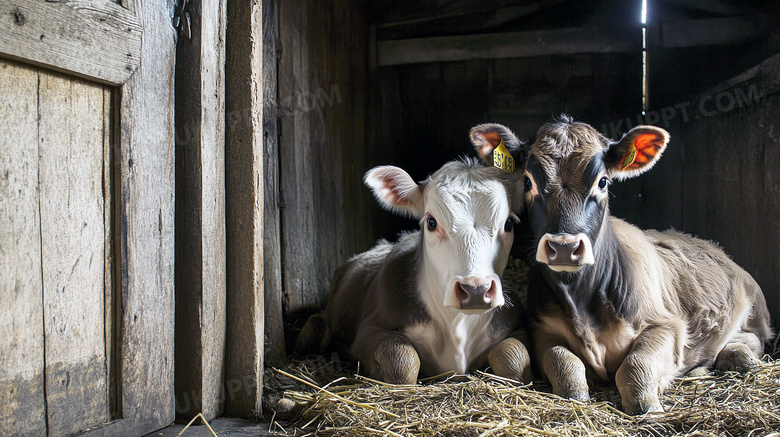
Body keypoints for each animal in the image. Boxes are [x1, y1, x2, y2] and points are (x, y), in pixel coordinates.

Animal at [296, 124, 532, 384]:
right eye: (431, 222)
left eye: (508, 223)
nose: (476, 291)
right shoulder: (368, 331)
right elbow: (401, 362)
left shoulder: (517, 326)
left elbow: (512, 359)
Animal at [482, 115, 772, 412]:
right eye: (528, 183)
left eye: (602, 182)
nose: (564, 248)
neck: (581, 298)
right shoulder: (542, 329)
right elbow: (558, 360)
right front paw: (576, 391)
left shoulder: (666, 325)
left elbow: (635, 365)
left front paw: (647, 406)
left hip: (755, 310)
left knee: (755, 338)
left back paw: (734, 356)